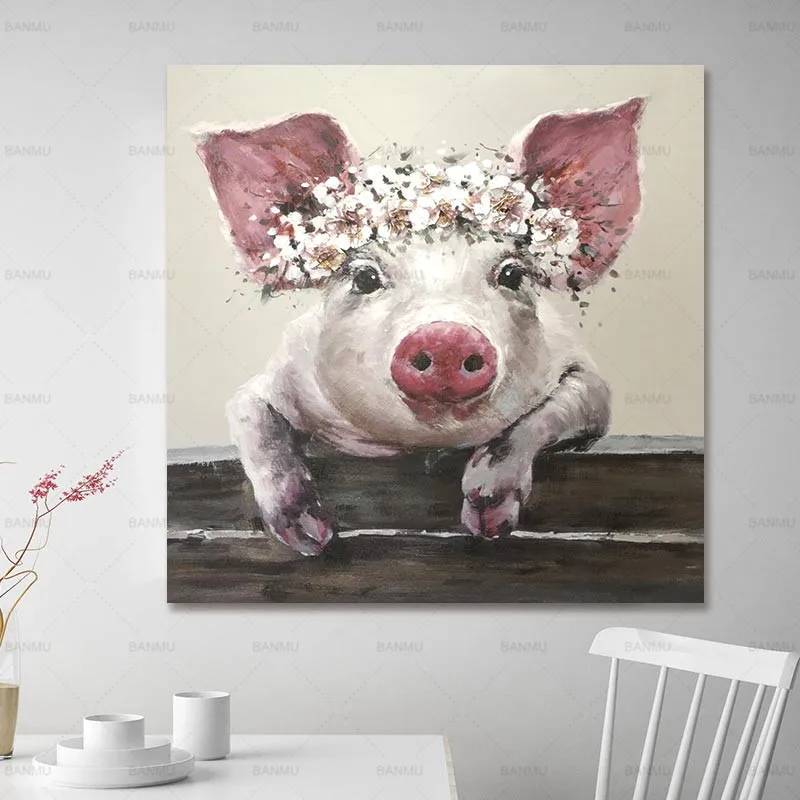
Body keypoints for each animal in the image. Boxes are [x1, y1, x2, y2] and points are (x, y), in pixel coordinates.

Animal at [195, 98, 645, 555]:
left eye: (512, 274)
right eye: (365, 277)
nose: (446, 336)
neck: (416, 446)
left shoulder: (589, 384)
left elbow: (545, 416)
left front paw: (489, 518)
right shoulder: (276, 380)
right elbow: (253, 418)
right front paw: (309, 536)